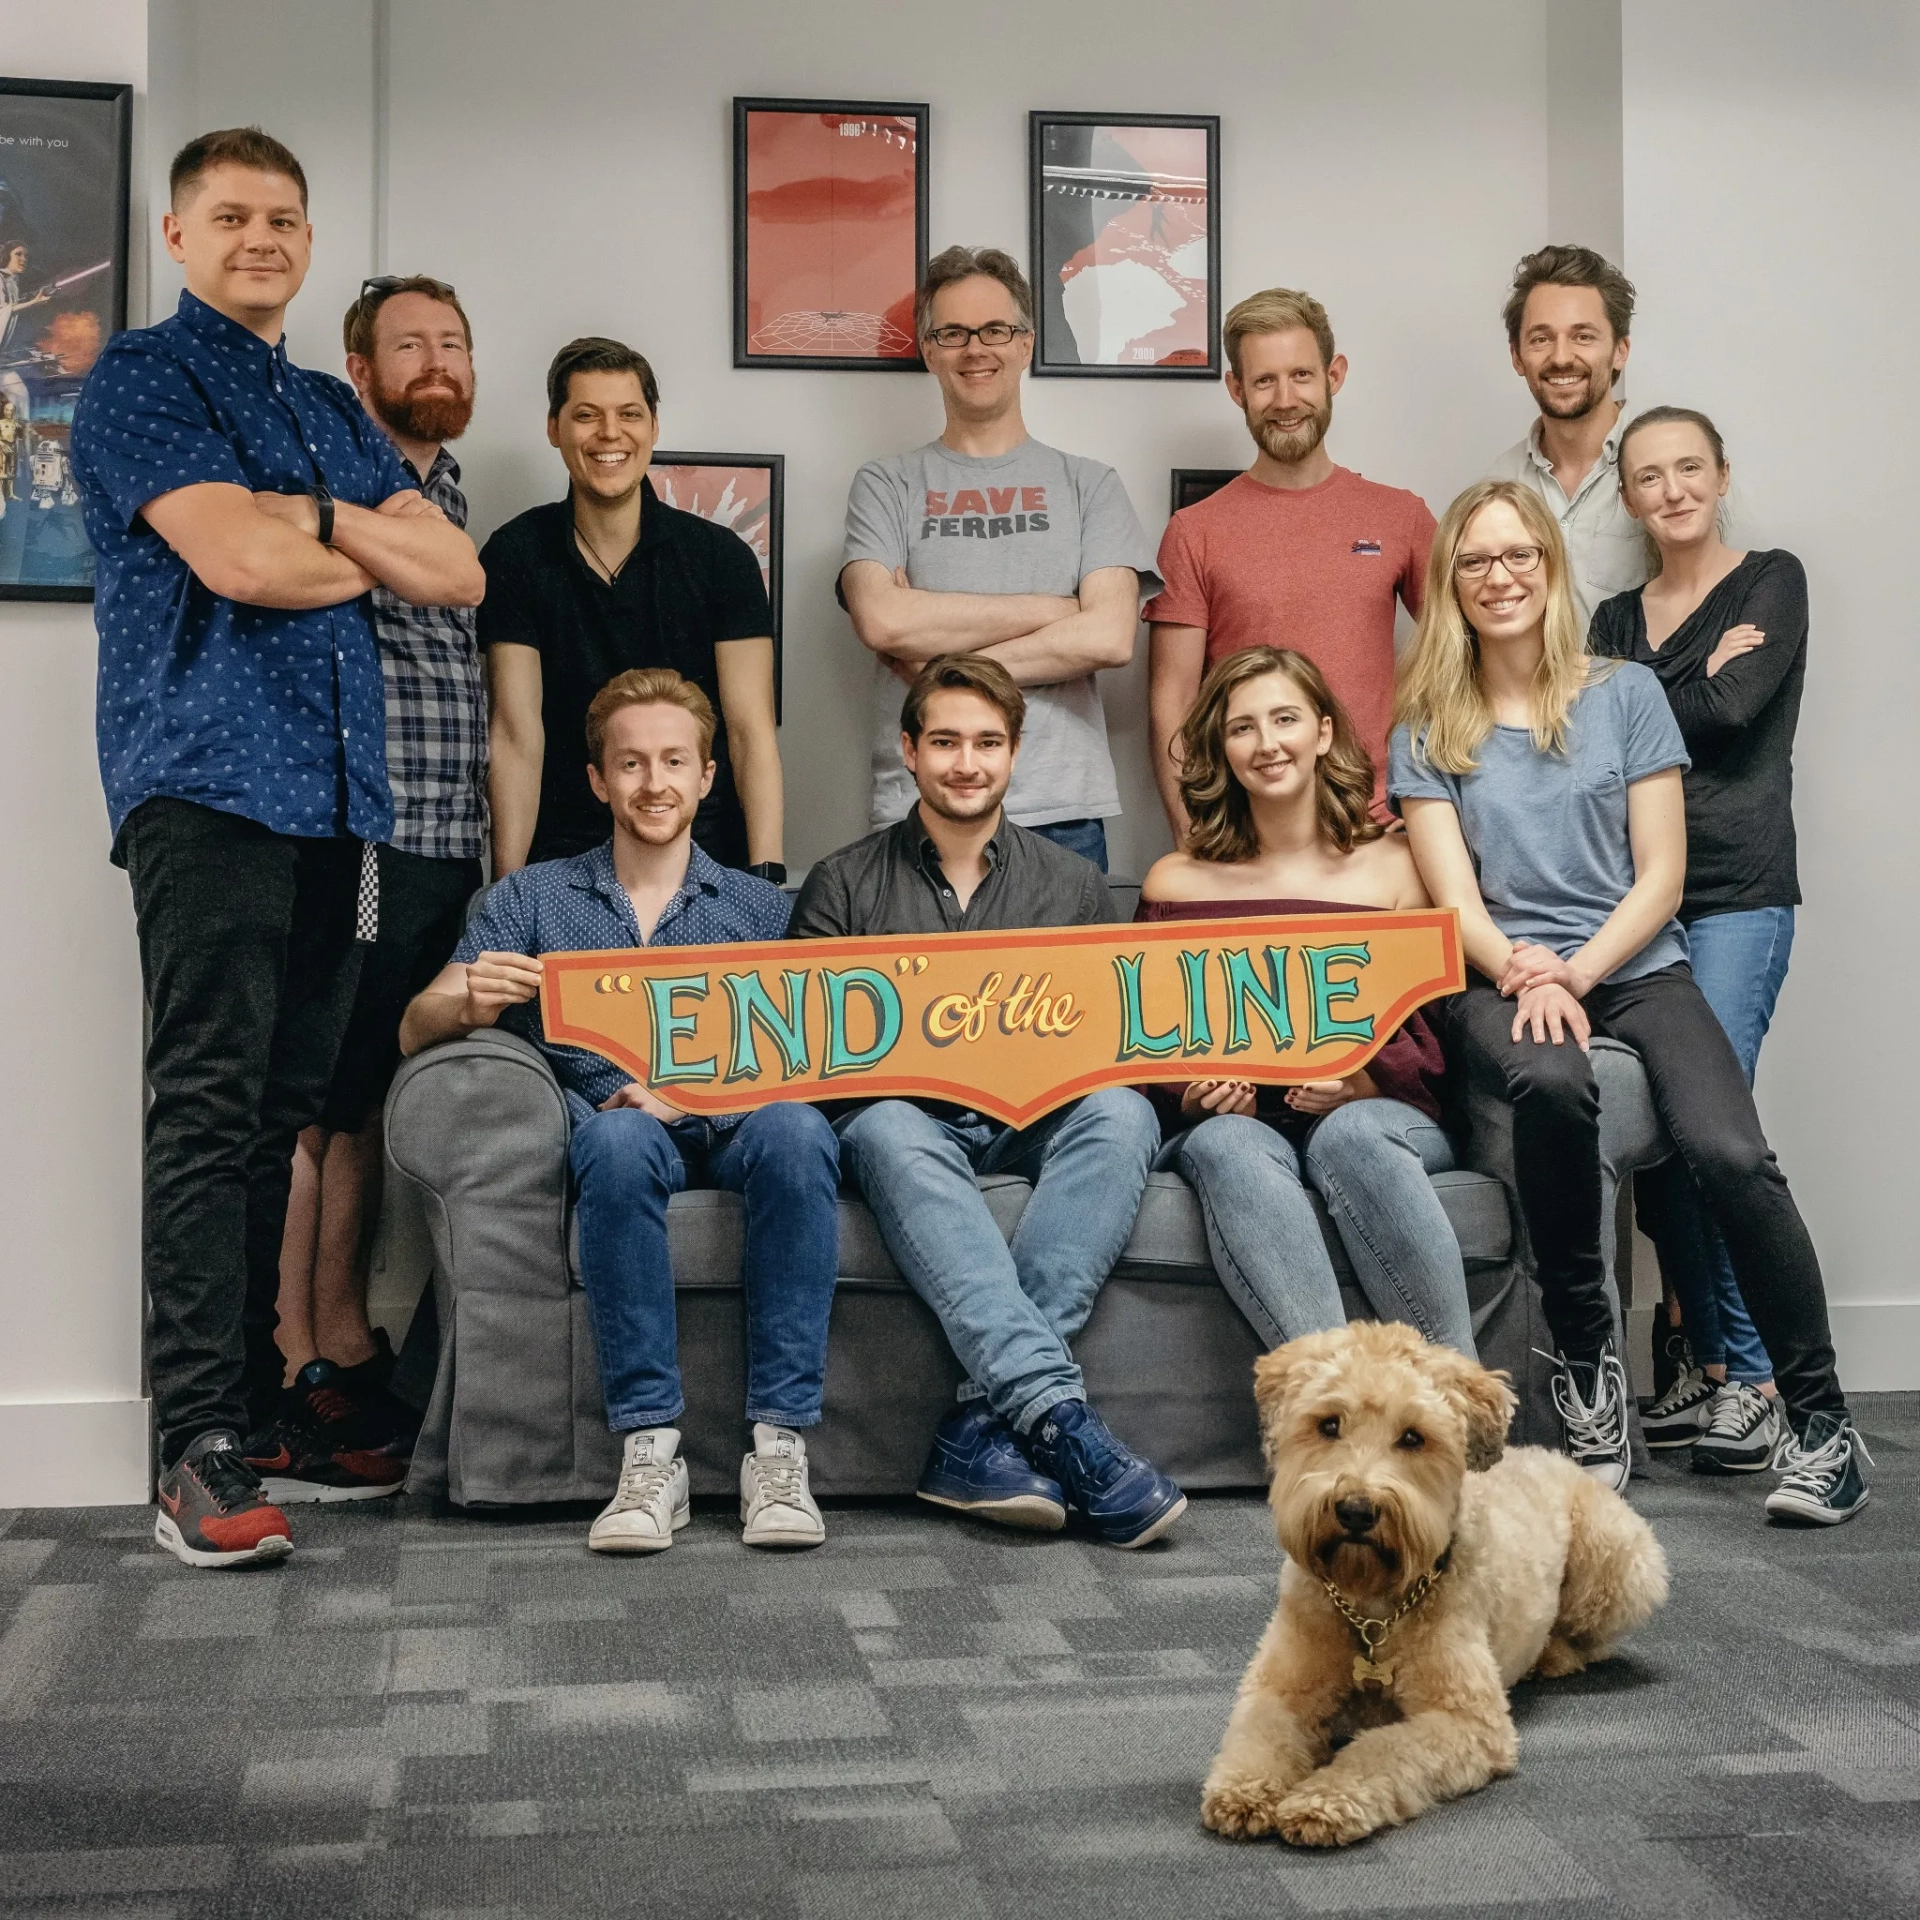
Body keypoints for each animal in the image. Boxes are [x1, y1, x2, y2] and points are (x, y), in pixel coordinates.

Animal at [1198, 1320, 1666, 1843]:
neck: (1372, 1606)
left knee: (1591, 1639)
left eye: (1412, 1437)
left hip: (1618, 1564)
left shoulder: (1464, 1719)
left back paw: (1555, 1655)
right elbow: (1260, 1732)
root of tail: (1554, 1455)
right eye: (1329, 1424)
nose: (1356, 1510)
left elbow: (1380, 1749)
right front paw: (1245, 1788)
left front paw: (1325, 1798)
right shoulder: (1280, 1686)